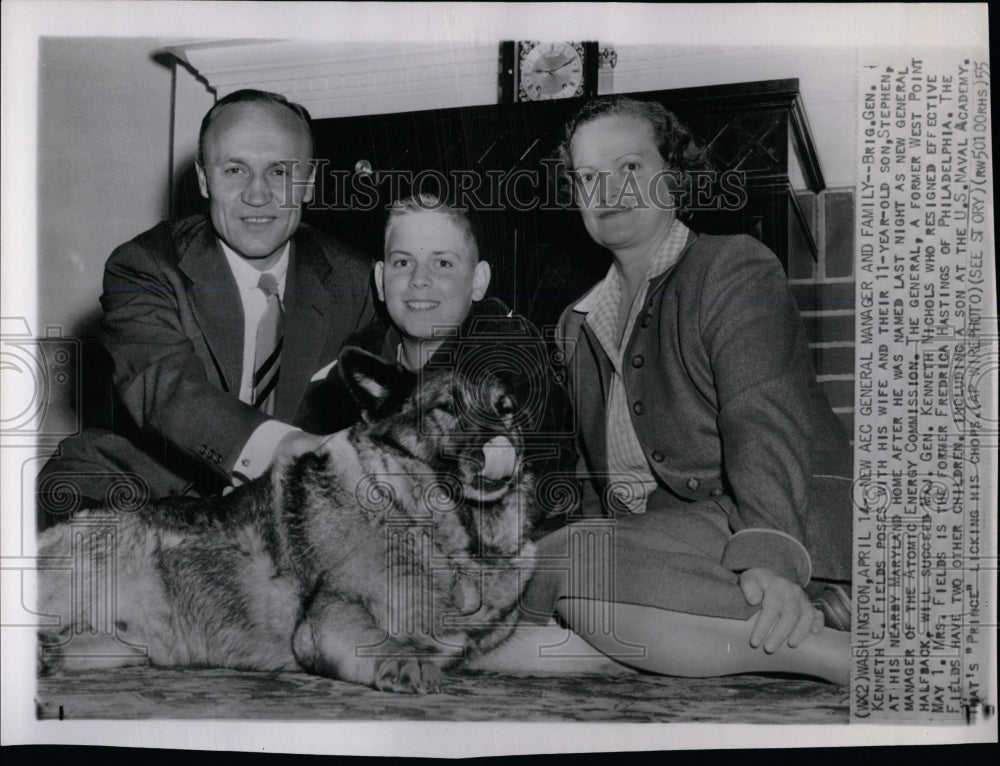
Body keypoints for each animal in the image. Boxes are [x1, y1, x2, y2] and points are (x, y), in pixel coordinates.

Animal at [37, 350, 540, 696]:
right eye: (446, 409)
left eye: (505, 408)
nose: (500, 443)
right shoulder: (329, 619)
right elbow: (378, 638)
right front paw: (403, 662)